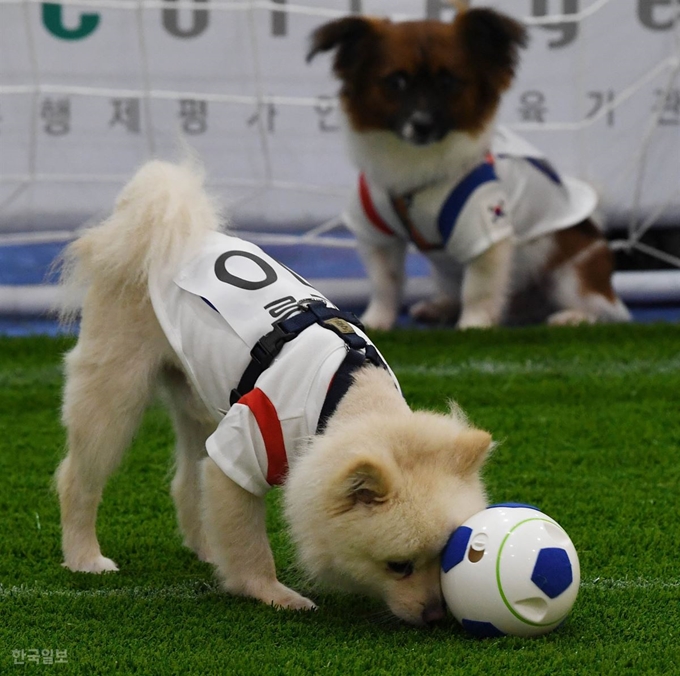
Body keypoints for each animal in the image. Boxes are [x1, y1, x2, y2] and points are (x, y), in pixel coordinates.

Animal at [308, 7, 632, 330]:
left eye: (448, 83)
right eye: (396, 82)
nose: (422, 125)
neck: (417, 166)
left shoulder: (486, 232)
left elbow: (478, 289)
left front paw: (474, 326)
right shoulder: (378, 235)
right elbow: (385, 283)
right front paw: (375, 322)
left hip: (571, 276)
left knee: (608, 312)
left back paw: (574, 316)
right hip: (446, 272)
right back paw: (441, 307)